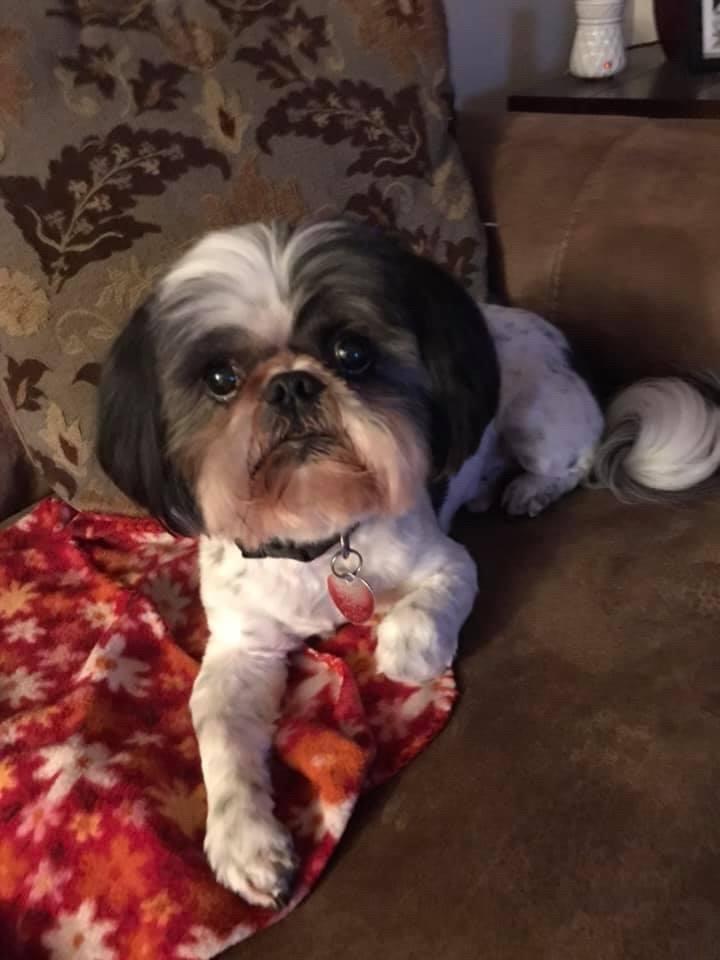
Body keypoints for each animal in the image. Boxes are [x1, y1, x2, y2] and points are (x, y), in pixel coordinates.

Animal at [97, 218, 720, 908]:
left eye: (352, 353)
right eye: (220, 379)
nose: (291, 383)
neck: (315, 531)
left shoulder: (448, 563)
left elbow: (419, 617)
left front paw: (404, 653)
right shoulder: (242, 647)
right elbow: (220, 732)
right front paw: (244, 845)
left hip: (537, 417)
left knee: (574, 459)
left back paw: (527, 490)